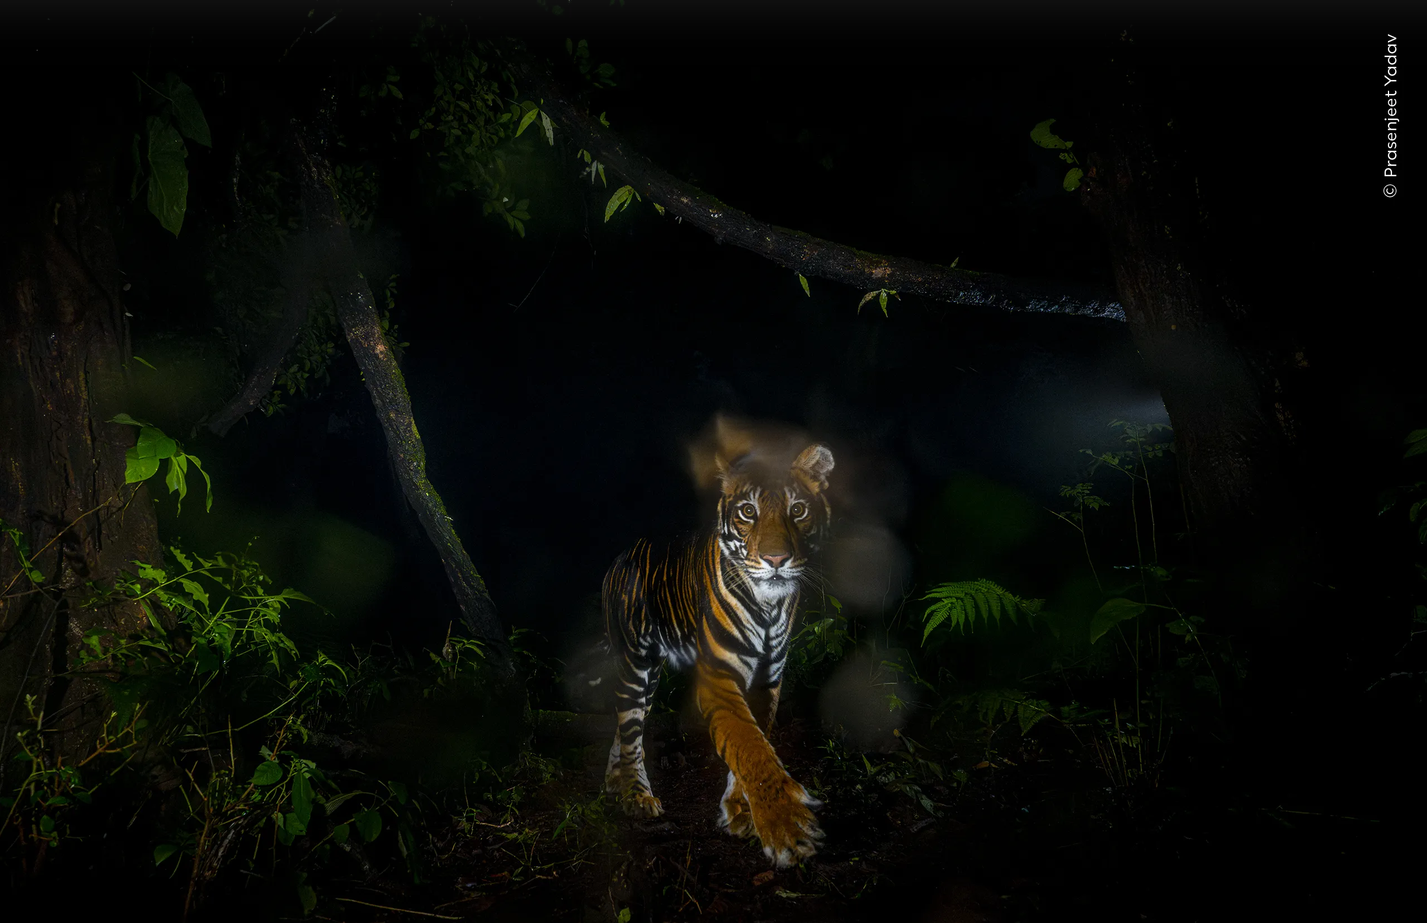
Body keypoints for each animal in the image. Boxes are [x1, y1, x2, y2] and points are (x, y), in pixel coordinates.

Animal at [601, 429, 834, 868]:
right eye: (747, 511)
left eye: (798, 510)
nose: (776, 558)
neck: (769, 605)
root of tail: (619, 557)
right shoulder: (719, 678)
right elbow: (747, 744)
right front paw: (787, 828)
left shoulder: (768, 678)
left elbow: (755, 741)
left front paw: (741, 813)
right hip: (635, 663)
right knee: (630, 728)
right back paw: (636, 796)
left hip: (652, 673)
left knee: (624, 729)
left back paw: (615, 781)